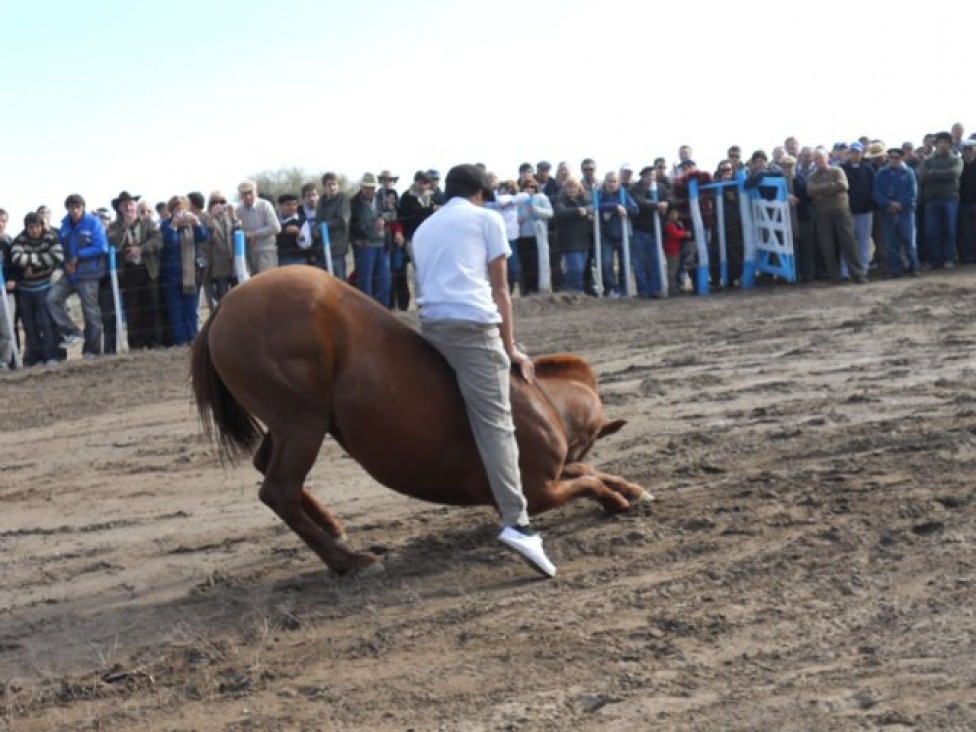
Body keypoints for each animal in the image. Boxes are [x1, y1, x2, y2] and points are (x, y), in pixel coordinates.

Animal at [191, 266, 648, 576]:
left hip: (293, 425)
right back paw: (350, 562)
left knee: (266, 468)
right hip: (302, 424)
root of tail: (226, 304)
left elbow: (589, 472)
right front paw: (616, 499)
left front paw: (632, 488)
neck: (543, 403)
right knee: (278, 491)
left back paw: (333, 526)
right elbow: (585, 481)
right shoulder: (537, 491)